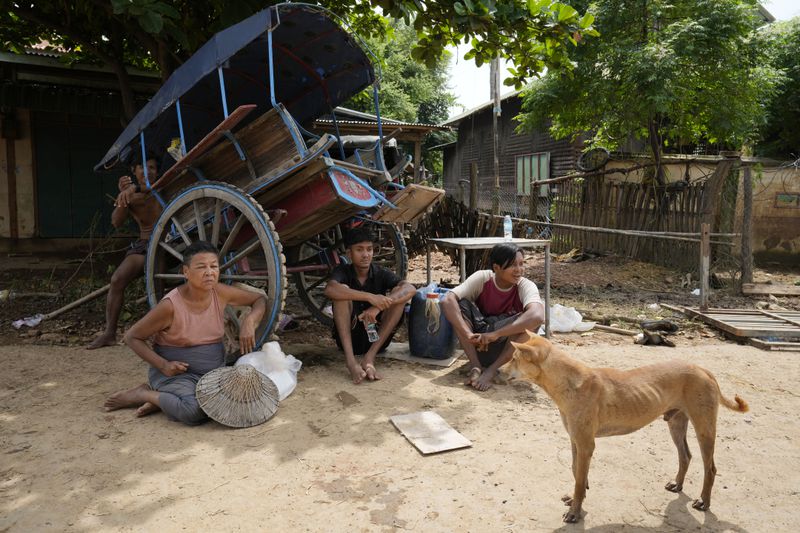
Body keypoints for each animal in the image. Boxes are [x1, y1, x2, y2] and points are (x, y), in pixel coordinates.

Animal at [504, 330, 748, 520]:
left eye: (514, 358)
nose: (498, 371)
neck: (569, 382)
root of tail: (703, 370)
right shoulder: (575, 440)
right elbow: (575, 472)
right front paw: (576, 498)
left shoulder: (586, 445)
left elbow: (579, 479)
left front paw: (575, 512)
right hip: (676, 423)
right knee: (685, 456)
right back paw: (677, 484)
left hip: (704, 428)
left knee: (710, 468)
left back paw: (704, 501)